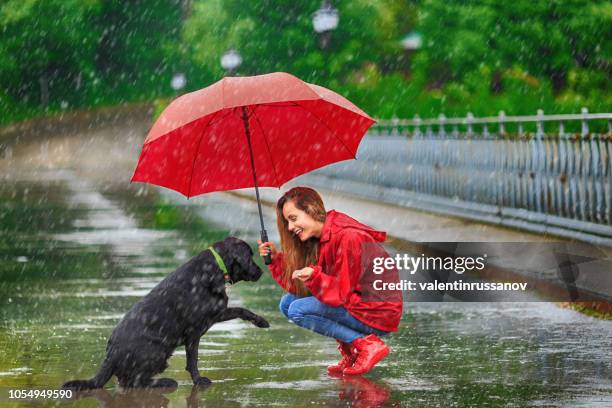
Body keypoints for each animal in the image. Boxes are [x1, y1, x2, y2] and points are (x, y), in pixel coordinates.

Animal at [61, 236, 268, 388]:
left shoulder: (217, 313)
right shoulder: (194, 332)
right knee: (132, 381)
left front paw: (261, 321)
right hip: (158, 350)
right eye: (250, 257)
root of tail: (110, 356)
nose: (261, 272)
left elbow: (242, 310)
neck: (214, 268)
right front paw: (198, 380)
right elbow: (193, 360)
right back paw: (164, 382)